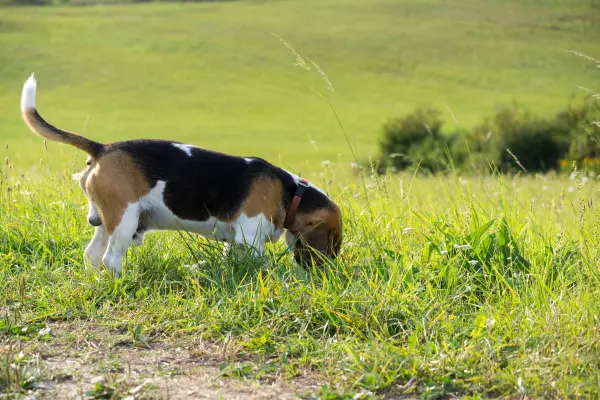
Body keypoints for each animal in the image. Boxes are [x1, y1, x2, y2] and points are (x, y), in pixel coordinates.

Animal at [21, 74, 342, 276]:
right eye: (334, 240)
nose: (328, 271)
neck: (292, 193)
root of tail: (103, 147)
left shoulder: (237, 242)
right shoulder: (251, 239)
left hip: (106, 220)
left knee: (92, 255)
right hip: (124, 219)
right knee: (111, 259)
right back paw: (120, 280)